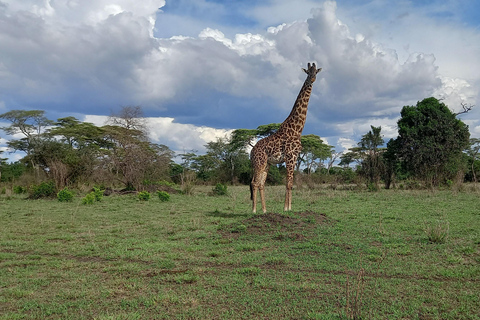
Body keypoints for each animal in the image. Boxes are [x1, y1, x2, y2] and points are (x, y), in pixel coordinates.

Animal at [249, 62, 320, 212]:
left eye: (316, 72)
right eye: (308, 73)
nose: (312, 79)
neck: (297, 129)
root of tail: (251, 151)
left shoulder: (295, 157)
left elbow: (290, 183)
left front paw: (288, 207)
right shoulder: (290, 156)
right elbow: (288, 183)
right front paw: (287, 208)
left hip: (267, 164)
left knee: (261, 184)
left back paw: (265, 210)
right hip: (259, 163)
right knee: (254, 183)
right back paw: (254, 210)